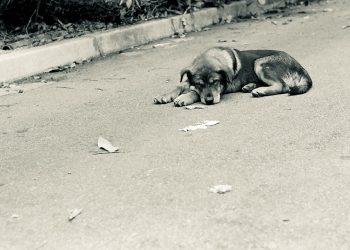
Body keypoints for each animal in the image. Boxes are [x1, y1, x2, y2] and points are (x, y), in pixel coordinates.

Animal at [154, 46, 314, 106]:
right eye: (199, 83)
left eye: (215, 82)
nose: (210, 101)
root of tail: (301, 67)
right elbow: (181, 85)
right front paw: (165, 95)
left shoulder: (223, 88)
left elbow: (193, 92)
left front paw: (184, 97)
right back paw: (250, 86)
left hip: (260, 63)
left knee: (283, 86)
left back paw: (259, 91)